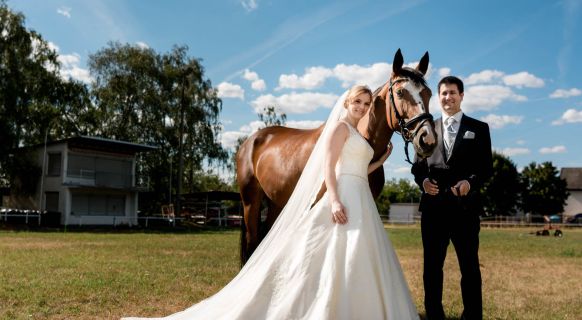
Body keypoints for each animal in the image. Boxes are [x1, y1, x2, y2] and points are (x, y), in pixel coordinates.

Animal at [237, 48, 438, 262]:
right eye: (400, 92)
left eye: (428, 94)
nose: (428, 139)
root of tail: (250, 141)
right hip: (251, 202)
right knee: (252, 242)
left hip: (277, 203)